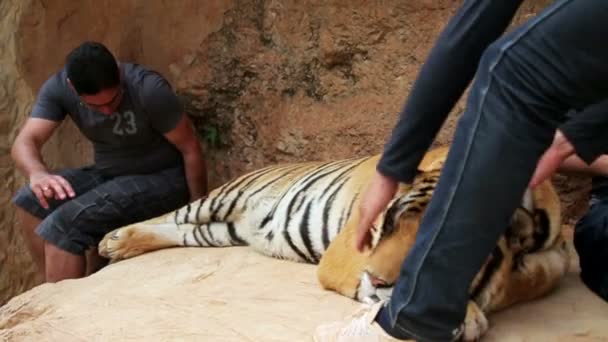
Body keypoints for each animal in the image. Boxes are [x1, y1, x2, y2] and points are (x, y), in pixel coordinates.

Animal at [98, 146, 568, 340]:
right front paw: (464, 314)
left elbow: (538, 273)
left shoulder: (555, 253)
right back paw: (112, 241)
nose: (378, 280)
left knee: (177, 231)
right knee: (170, 215)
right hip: (224, 198)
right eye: (389, 225)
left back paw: (120, 245)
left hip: (221, 232)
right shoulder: (347, 254)